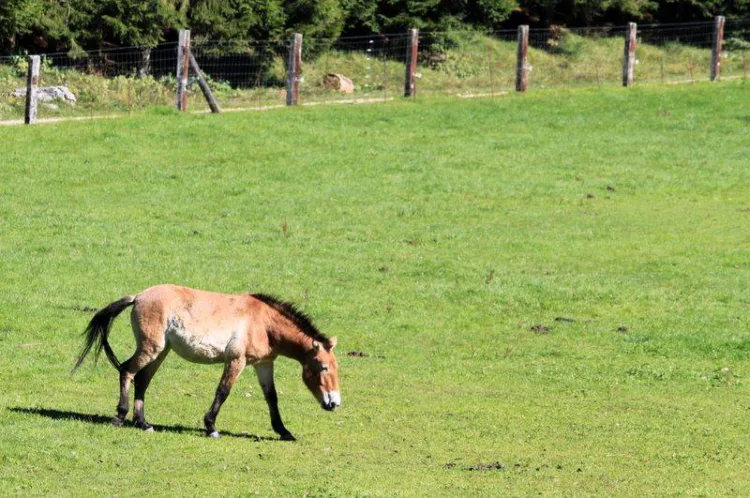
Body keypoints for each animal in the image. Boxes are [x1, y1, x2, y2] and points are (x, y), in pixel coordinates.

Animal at [73, 284, 341, 441]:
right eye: (324, 367)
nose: (334, 403)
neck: (263, 322)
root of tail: (138, 297)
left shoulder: (263, 364)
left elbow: (271, 397)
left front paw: (284, 432)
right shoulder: (236, 361)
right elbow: (223, 391)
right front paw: (211, 427)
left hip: (161, 352)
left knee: (142, 380)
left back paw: (143, 423)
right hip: (151, 349)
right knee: (127, 371)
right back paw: (120, 416)